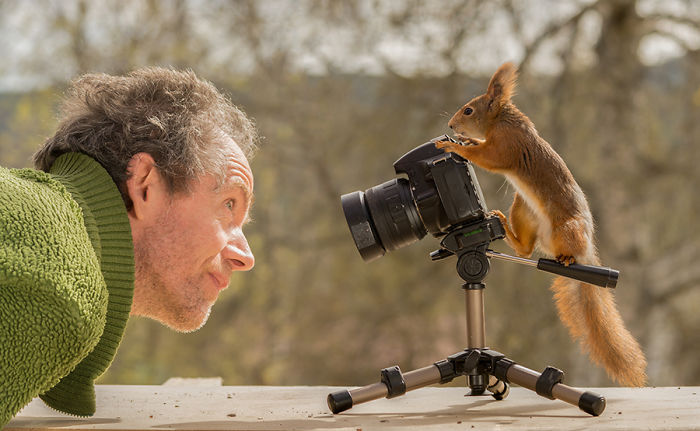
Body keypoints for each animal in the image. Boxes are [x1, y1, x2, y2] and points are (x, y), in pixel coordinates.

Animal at [435, 62, 647, 387]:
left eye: (469, 110)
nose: (451, 126)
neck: (501, 120)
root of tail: (585, 250)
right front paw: (466, 141)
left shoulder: (506, 145)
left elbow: (487, 157)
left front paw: (454, 147)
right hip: (522, 209)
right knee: (525, 250)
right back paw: (503, 223)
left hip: (566, 229)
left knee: (556, 250)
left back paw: (567, 258)